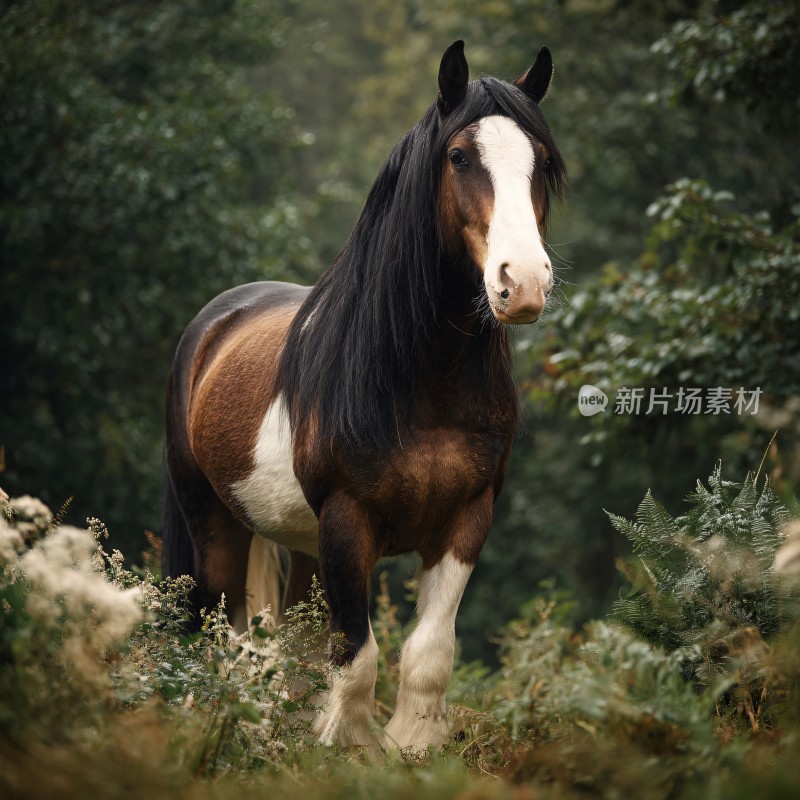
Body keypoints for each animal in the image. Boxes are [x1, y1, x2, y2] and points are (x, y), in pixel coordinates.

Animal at [162, 40, 566, 751]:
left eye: (541, 162)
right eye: (459, 157)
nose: (522, 282)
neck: (424, 384)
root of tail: (213, 324)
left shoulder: (466, 519)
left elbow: (429, 651)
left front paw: (414, 745)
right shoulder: (348, 522)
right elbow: (357, 652)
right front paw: (347, 745)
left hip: (300, 546)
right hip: (213, 524)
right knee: (223, 633)